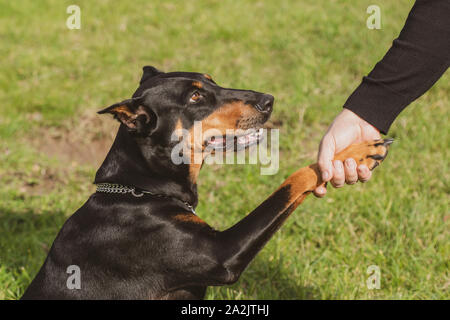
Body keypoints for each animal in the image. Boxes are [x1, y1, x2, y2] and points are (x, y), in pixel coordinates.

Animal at [22, 66, 392, 298]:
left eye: (212, 81)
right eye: (195, 98)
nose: (268, 100)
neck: (139, 191)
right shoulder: (223, 255)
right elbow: (295, 178)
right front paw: (356, 151)